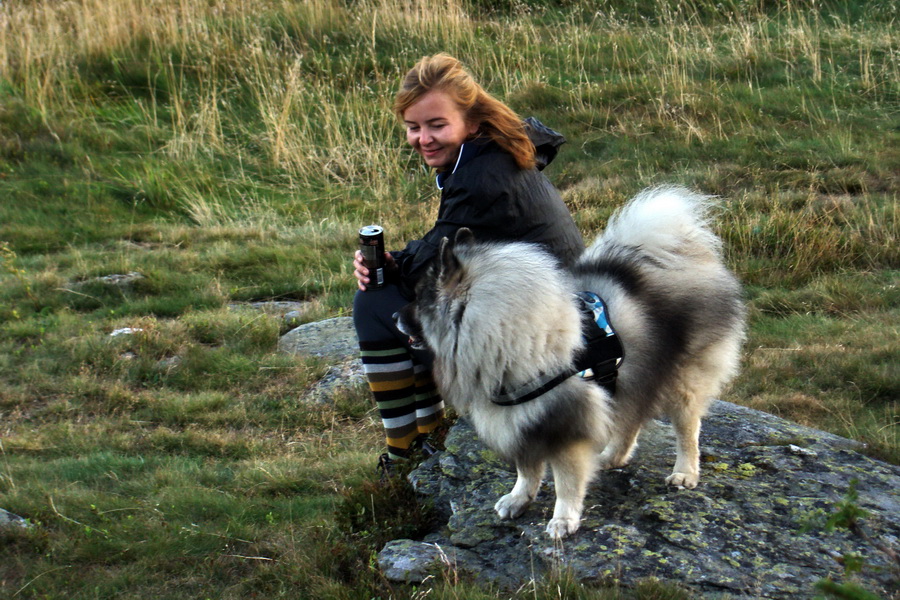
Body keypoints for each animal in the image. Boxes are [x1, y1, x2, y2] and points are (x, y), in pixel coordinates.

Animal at [396, 185, 744, 536]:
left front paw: (563, 519)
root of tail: (683, 252)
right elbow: (527, 469)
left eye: (419, 299)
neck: (504, 333)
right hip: (632, 378)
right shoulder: (521, 421)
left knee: (687, 429)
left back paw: (685, 472)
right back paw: (612, 457)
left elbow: (566, 481)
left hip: (682, 379)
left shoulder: (565, 425)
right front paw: (518, 498)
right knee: (631, 419)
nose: (396, 316)